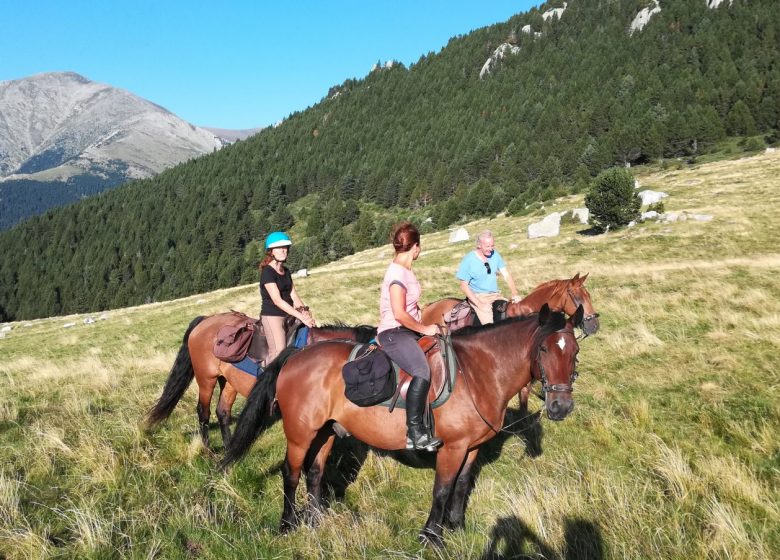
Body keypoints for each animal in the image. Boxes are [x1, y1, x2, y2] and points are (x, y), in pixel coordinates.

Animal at [149, 312, 378, 448]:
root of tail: (204, 320)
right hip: (206, 378)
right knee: (203, 412)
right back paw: (207, 449)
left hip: (229, 382)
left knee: (222, 412)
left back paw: (228, 445)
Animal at [222, 304, 580, 544]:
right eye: (544, 348)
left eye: (575, 350)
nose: (560, 407)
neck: (477, 372)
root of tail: (295, 355)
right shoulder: (453, 448)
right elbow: (442, 489)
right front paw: (431, 537)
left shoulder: (473, 446)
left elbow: (462, 485)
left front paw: (457, 527)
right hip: (300, 434)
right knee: (291, 473)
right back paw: (287, 525)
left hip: (325, 431)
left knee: (315, 472)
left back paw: (317, 519)